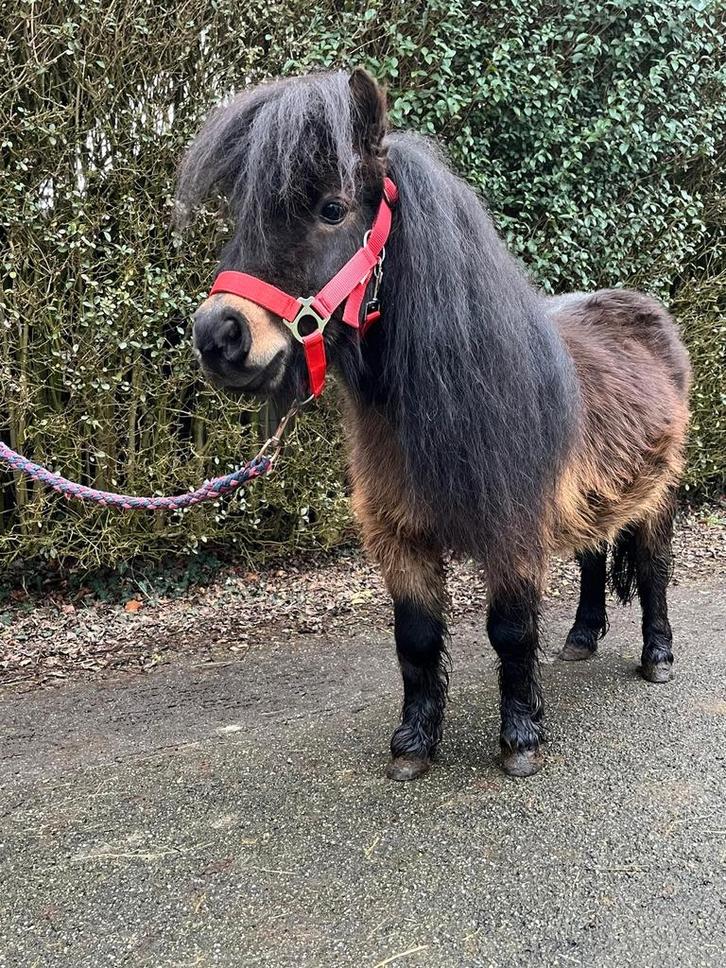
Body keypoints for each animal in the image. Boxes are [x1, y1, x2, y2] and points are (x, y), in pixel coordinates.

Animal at [176, 68, 691, 781]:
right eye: (242, 215)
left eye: (332, 209)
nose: (219, 336)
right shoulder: (401, 537)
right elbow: (416, 640)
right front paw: (413, 746)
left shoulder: (511, 532)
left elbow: (510, 631)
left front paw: (521, 740)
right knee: (592, 561)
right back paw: (581, 640)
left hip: (658, 495)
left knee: (652, 570)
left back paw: (658, 659)